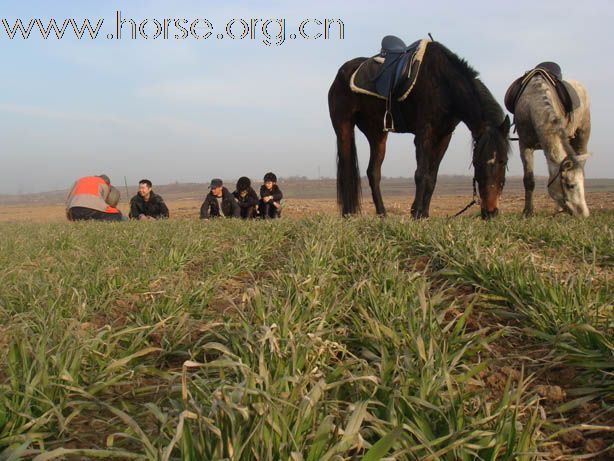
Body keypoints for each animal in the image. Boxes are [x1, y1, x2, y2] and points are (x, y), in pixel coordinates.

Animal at [330, 38, 512, 218]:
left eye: (504, 161)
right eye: (477, 162)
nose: (490, 212)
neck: (444, 84)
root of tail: (341, 73)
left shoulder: (444, 136)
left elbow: (432, 177)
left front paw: (424, 213)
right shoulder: (424, 132)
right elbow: (421, 174)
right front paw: (416, 212)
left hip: (377, 133)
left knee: (373, 172)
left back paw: (382, 214)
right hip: (344, 127)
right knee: (347, 170)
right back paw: (348, 214)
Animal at [510, 64, 592, 217]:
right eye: (570, 185)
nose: (584, 214)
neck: (531, 102)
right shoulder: (524, 145)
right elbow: (529, 180)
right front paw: (527, 212)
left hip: (583, 134)